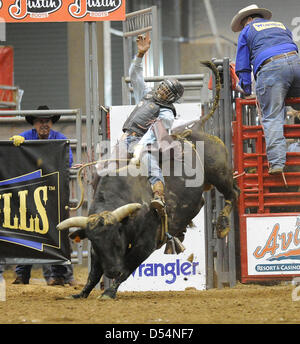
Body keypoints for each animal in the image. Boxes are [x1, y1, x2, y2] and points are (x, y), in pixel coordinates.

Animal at [55, 123, 239, 298]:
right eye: (94, 241)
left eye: (116, 237)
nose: (112, 271)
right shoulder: (96, 251)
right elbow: (93, 273)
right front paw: (81, 293)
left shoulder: (145, 245)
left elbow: (126, 269)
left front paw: (109, 292)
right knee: (202, 202)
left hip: (220, 173)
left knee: (233, 193)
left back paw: (222, 225)